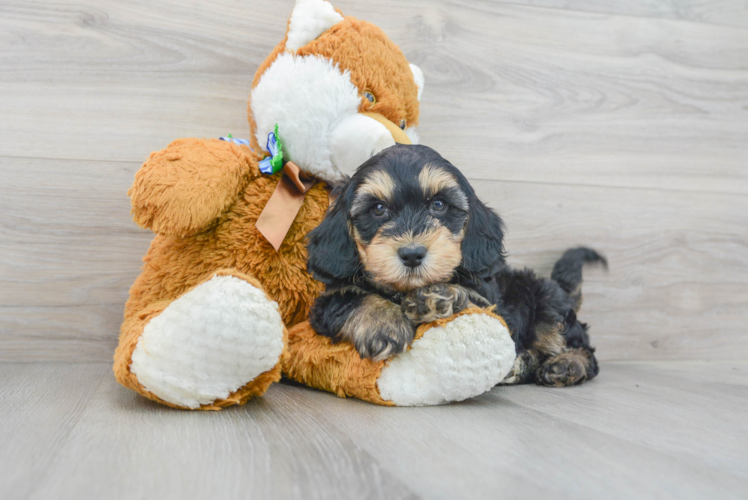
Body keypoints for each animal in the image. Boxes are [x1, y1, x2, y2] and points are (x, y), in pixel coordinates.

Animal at [306, 145, 604, 386]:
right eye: (378, 209)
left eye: (439, 204)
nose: (412, 254)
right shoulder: (326, 302)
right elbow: (349, 299)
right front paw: (384, 321)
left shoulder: (490, 305)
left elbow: (470, 299)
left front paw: (434, 296)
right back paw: (521, 365)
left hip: (548, 306)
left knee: (580, 349)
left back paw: (566, 364)